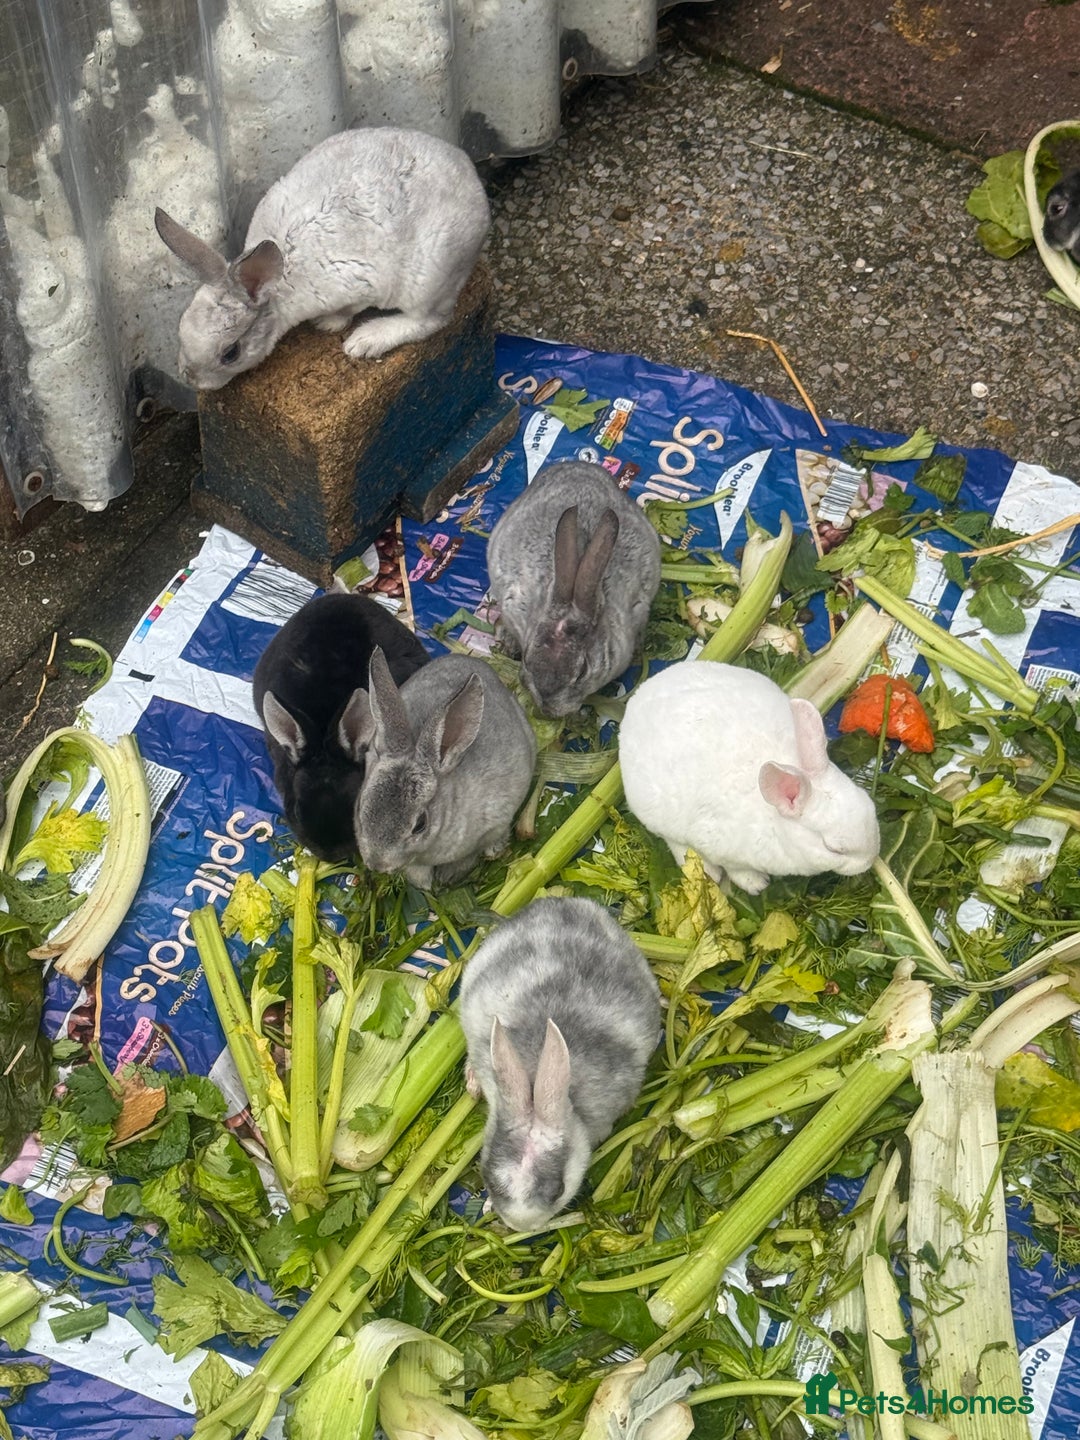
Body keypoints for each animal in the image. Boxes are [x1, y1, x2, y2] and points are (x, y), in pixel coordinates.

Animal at [153, 125, 490, 389]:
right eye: (180, 326)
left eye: (230, 353)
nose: (189, 379)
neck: (278, 287)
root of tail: (476, 186)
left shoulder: (355, 287)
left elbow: (347, 311)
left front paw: (326, 324)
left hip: (426, 281)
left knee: (430, 320)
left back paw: (365, 341)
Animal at [342, 649, 536, 890]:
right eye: (361, 806)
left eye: (420, 825)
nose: (376, 865)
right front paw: (425, 886)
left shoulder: (490, 827)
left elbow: (468, 858)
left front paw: (446, 879)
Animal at [619, 661, 880, 895]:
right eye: (834, 849)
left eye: (870, 804)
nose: (870, 860)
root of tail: (635, 704)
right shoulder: (724, 850)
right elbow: (737, 871)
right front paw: (756, 884)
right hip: (658, 816)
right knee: (676, 843)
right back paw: (707, 872)